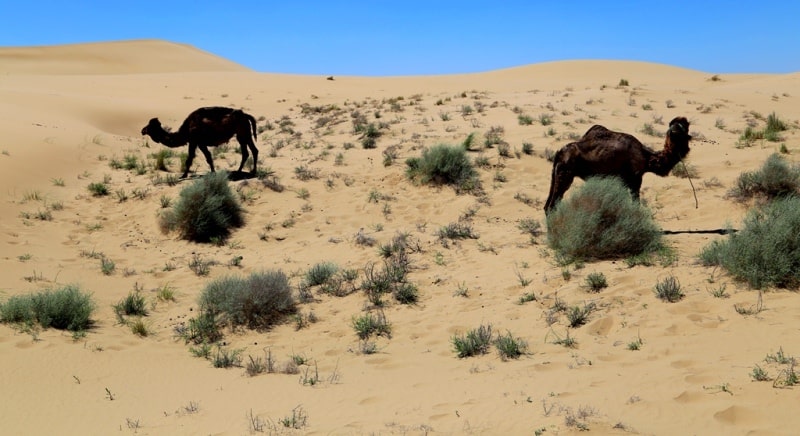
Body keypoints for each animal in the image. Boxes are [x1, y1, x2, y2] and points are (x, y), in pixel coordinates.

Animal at [544, 116, 692, 214]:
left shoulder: (622, 181)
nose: (675, 130)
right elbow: (636, 203)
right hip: (565, 173)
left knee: (547, 206)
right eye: (677, 126)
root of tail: (559, 152)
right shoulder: (635, 178)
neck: (647, 157)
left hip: (556, 173)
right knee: (552, 206)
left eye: (685, 125)